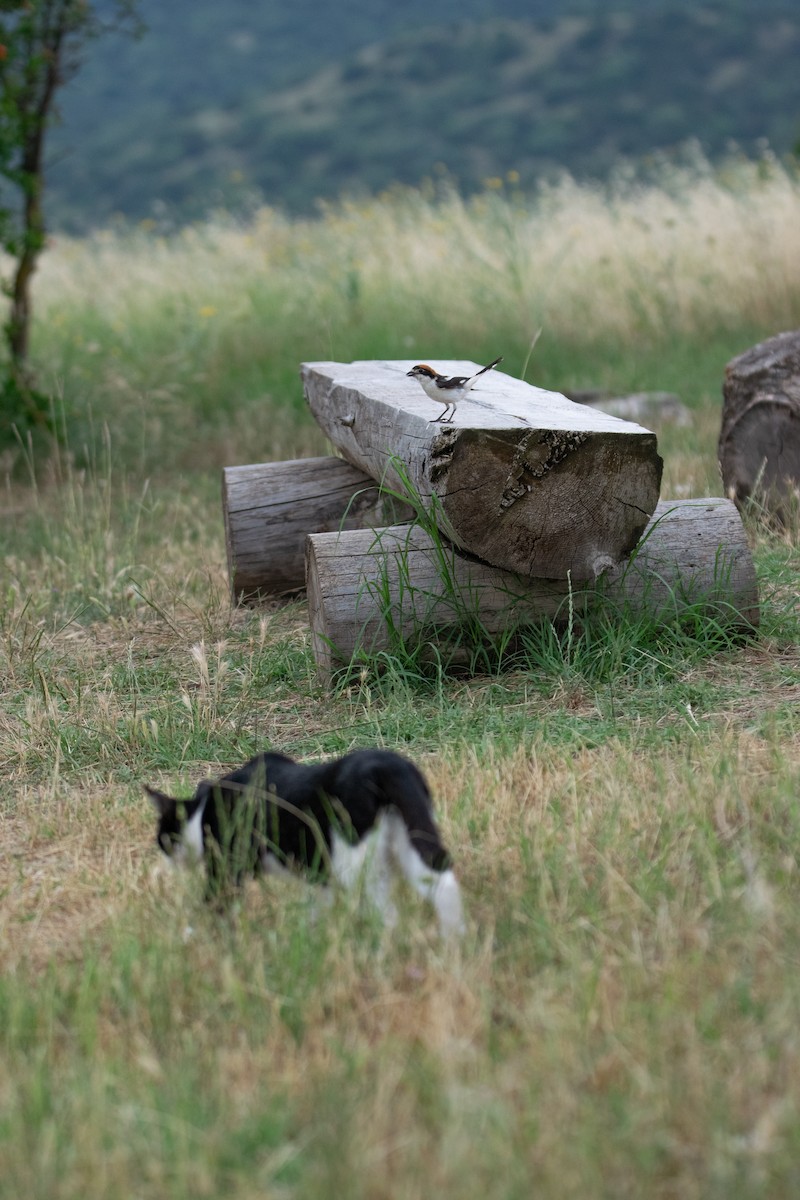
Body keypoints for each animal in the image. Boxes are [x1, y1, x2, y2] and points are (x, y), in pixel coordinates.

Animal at [146, 748, 465, 936]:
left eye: (162, 838)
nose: (166, 861)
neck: (203, 810)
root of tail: (387, 764)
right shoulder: (319, 875)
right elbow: (317, 909)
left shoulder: (226, 866)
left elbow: (215, 904)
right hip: (414, 836)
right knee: (442, 883)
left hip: (355, 860)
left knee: (386, 914)